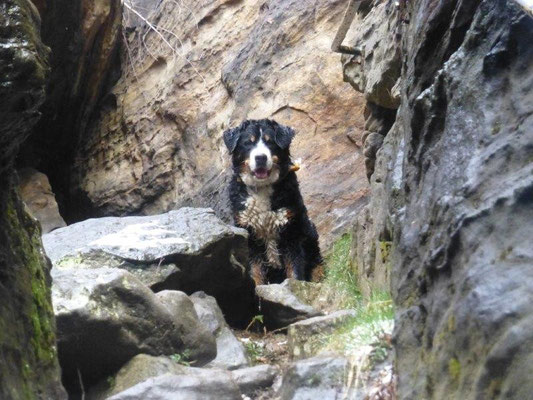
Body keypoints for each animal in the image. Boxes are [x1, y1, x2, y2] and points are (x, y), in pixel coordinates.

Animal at [221, 118, 320, 284]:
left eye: (270, 142)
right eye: (248, 143)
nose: (260, 157)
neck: (262, 188)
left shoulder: (292, 231)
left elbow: (294, 270)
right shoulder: (249, 234)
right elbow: (255, 272)